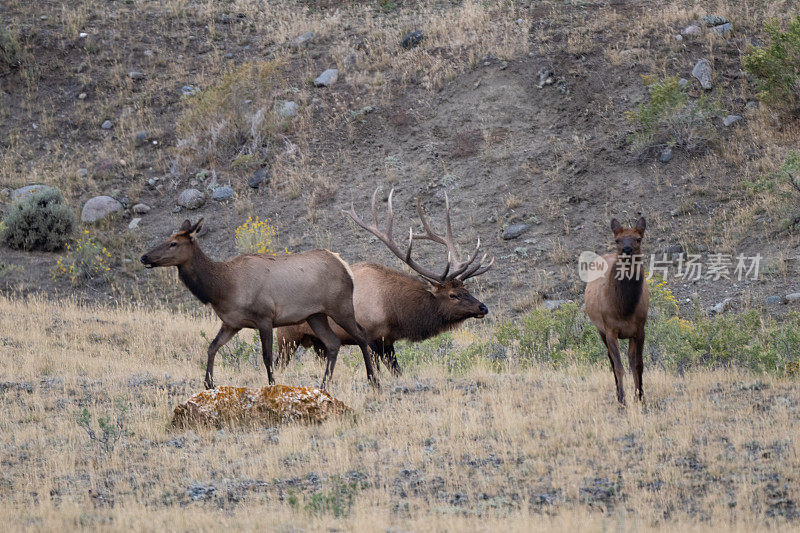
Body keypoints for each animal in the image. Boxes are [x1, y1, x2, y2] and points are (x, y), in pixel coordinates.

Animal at [141, 218, 378, 388]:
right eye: (165, 239)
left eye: (173, 243)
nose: (144, 257)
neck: (223, 289)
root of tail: (345, 266)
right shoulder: (232, 323)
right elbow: (211, 346)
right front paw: (208, 383)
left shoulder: (265, 317)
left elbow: (267, 357)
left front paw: (272, 385)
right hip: (315, 315)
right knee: (333, 343)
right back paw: (323, 385)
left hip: (340, 306)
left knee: (360, 334)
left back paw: (373, 380)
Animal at [276, 189, 494, 372]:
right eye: (453, 295)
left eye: (467, 289)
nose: (483, 307)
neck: (393, 310)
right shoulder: (370, 337)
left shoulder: (388, 341)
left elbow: (397, 371)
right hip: (287, 336)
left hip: (317, 342)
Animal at [580, 216, 648, 404]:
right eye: (617, 239)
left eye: (638, 239)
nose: (626, 249)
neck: (624, 308)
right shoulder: (610, 330)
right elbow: (618, 366)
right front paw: (623, 400)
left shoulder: (640, 329)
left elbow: (638, 364)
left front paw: (640, 397)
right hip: (600, 330)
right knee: (611, 361)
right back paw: (618, 395)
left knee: (631, 359)